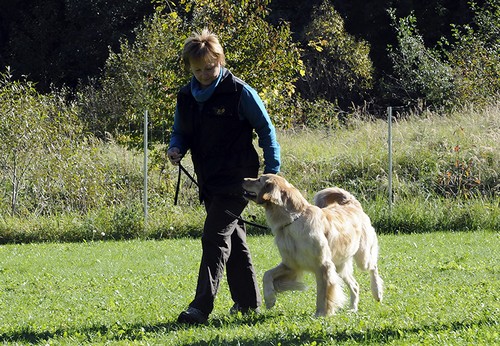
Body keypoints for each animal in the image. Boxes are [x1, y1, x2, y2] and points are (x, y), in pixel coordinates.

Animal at [242, 174, 382, 318]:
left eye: (259, 180)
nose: (243, 179)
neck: (293, 221)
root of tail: (352, 204)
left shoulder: (323, 266)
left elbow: (323, 293)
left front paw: (321, 313)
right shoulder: (291, 264)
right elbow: (267, 274)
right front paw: (270, 298)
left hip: (362, 257)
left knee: (373, 267)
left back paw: (377, 292)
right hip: (339, 265)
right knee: (355, 285)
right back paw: (353, 309)